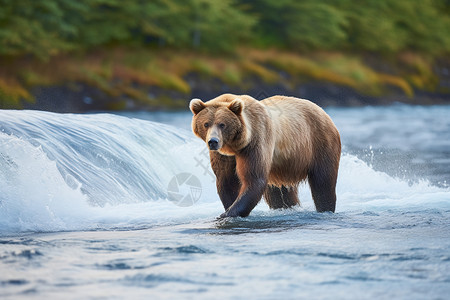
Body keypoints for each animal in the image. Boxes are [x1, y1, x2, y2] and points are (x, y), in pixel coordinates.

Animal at [188, 94, 340, 218]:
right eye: (206, 124)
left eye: (222, 124)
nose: (213, 141)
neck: (234, 146)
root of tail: (322, 110)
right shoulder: (223, 156)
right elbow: (227, 181)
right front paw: (228, 208)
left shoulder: (255, 141)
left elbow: (254, 179)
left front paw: (227, 213)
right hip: (282, 166)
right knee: (279, 193)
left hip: (319, 143)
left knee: (323, 182)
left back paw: (325, 208)